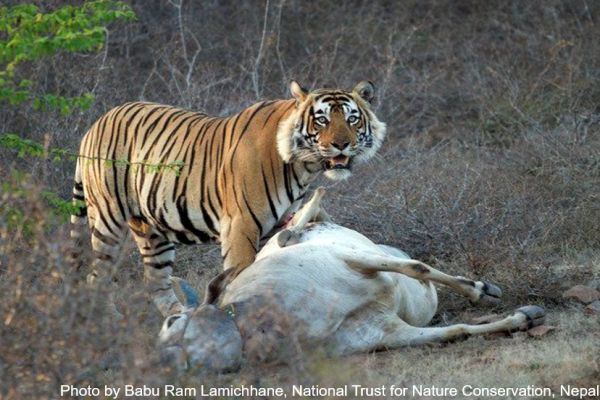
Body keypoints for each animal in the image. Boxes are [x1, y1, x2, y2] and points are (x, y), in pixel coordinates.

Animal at [70, 79, 386, 314]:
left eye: (352, 119)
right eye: (321, 120)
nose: (341, 145)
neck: (303, 167)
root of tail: (96, 122)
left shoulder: (282, 221)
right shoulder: (241, 224)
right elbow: (243, 272)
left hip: (151, 229)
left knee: (155, 281)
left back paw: (179, 317)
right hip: (108, 219)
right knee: (95, 276)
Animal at [158, 188, 544, 372]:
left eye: (172, 321)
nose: (162, 362)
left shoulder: (352, 258)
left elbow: (417, 267)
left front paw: (484, 292)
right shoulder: (387, 334)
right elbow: (456, 332)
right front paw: (522, 319)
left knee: (299, 221)